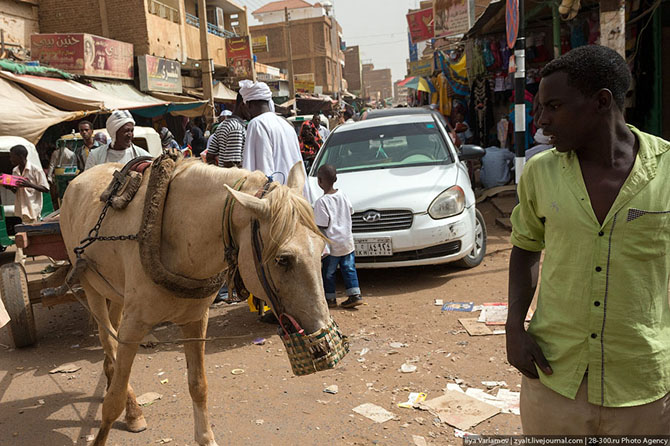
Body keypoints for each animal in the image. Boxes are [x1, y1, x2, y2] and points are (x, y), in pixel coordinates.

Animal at [59, 160, 336, 446]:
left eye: (321, 249)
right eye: (283, 259)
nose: (324, 345)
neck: (175, 233)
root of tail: (81, 177)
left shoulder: (195, 320)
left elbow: (198, 385)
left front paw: (206, 437)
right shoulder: (134, 325)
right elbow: (113, 400)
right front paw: (116, 417)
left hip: (116, 294)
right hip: (90, 286)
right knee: (108, 342)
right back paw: (132, 407)